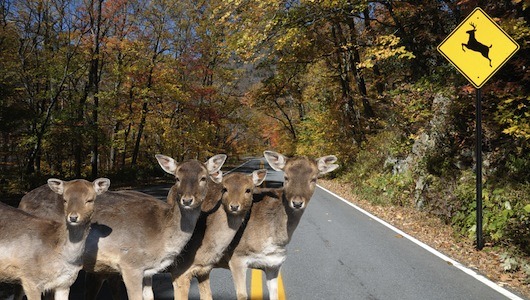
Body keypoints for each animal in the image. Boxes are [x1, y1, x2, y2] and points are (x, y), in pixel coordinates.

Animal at [17, 154, 225, 300]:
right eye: (176, 178)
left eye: (204, 178)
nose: (187, 200)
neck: (160, 234)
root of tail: (22, 201)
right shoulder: (130, 263)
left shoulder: (148, 270)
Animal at [216, 151, 338, 300]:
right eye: (286, 177)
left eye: (314, 179)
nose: (297, 203)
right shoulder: (236, 258)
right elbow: (242, 295)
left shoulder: (274, 264)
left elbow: (275, 295)